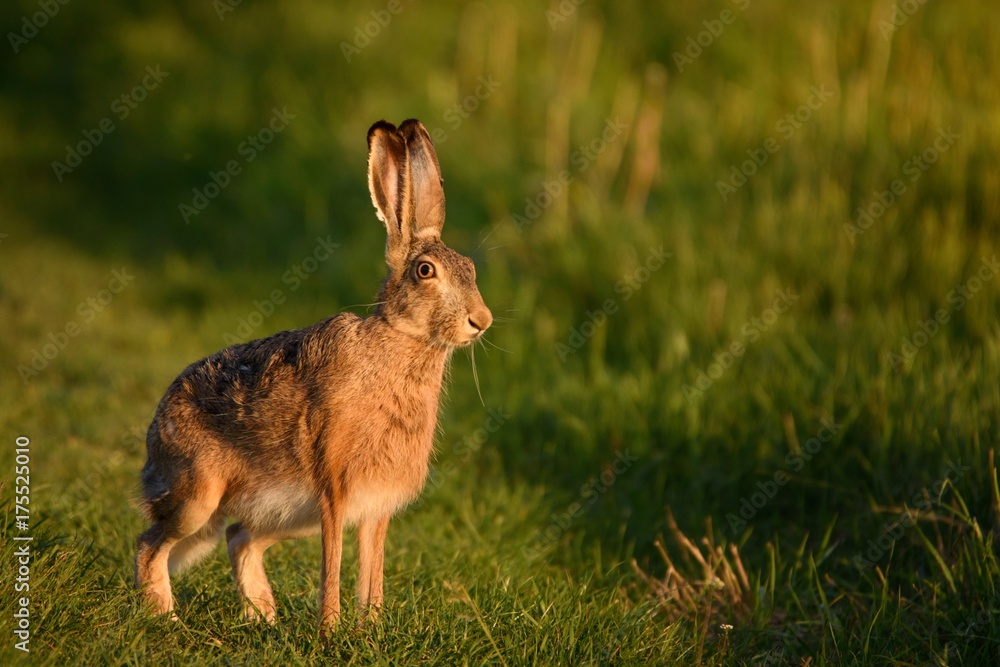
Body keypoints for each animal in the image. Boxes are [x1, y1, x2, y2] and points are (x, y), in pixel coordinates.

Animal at [135, 119, 492, 630]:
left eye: (472, 269)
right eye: (426, 271)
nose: (481, 320)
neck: (400, 342)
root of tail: (153, 438)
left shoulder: (375, 508)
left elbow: (371, 571)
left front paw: (370, 629)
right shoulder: (334, 492)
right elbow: (333, 566)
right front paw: (330, 631)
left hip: (280, 514)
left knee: (238, 537)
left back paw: (263, 618)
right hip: (198, 497)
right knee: (150, 544)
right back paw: (166, 619)